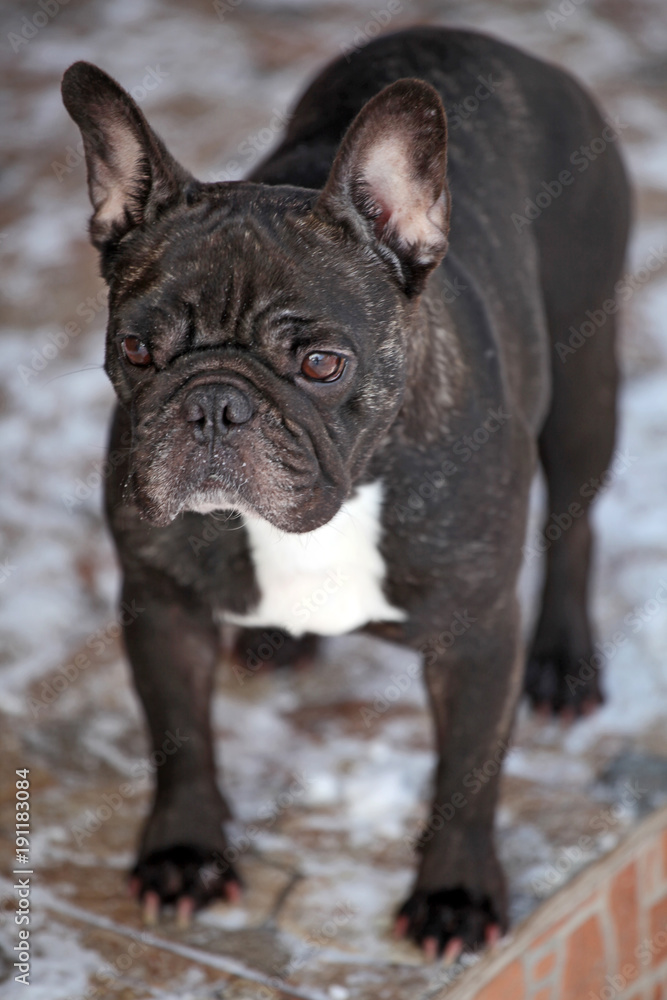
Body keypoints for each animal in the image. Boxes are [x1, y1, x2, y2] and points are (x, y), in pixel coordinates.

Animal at [62, 27, 632, 956]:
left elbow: (467, 773)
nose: (214, 404)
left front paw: (453, 896)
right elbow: (179, 738)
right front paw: (185, 857)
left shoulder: (477, 635)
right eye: (137, 351)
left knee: (574, 523)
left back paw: (562, 663)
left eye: (322, 364)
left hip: (584, 377)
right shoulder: (161, 601)